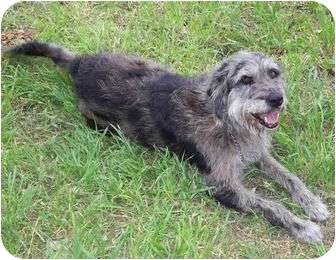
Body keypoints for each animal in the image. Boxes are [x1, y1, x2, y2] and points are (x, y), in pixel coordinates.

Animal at [8, 40, 330, 242]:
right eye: (246, 80)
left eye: (274, 73)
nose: (277, 99)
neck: (225, 118)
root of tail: (79, 64)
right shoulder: (221, 185)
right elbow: (271, 205)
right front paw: (302, 226)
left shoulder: (259, 154)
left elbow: (290, 177)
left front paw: (313, 204)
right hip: (103, 123)